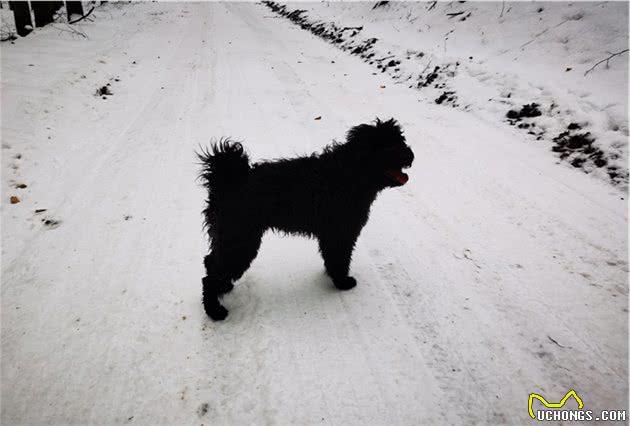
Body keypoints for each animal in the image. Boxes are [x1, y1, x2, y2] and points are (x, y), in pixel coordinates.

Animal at [199, 117, 414, 320]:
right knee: (210, 277)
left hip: (229, 237)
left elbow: (332, 258)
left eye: (400, 140)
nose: (411, 154)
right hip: (240, 240)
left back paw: (224, 288)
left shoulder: (332, 235)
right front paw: (342, 282)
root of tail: (227, 182)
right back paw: (215, 311)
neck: (350, 174)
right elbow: (340, 259)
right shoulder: (340, 233)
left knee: (210, 262)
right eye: (388, 146)